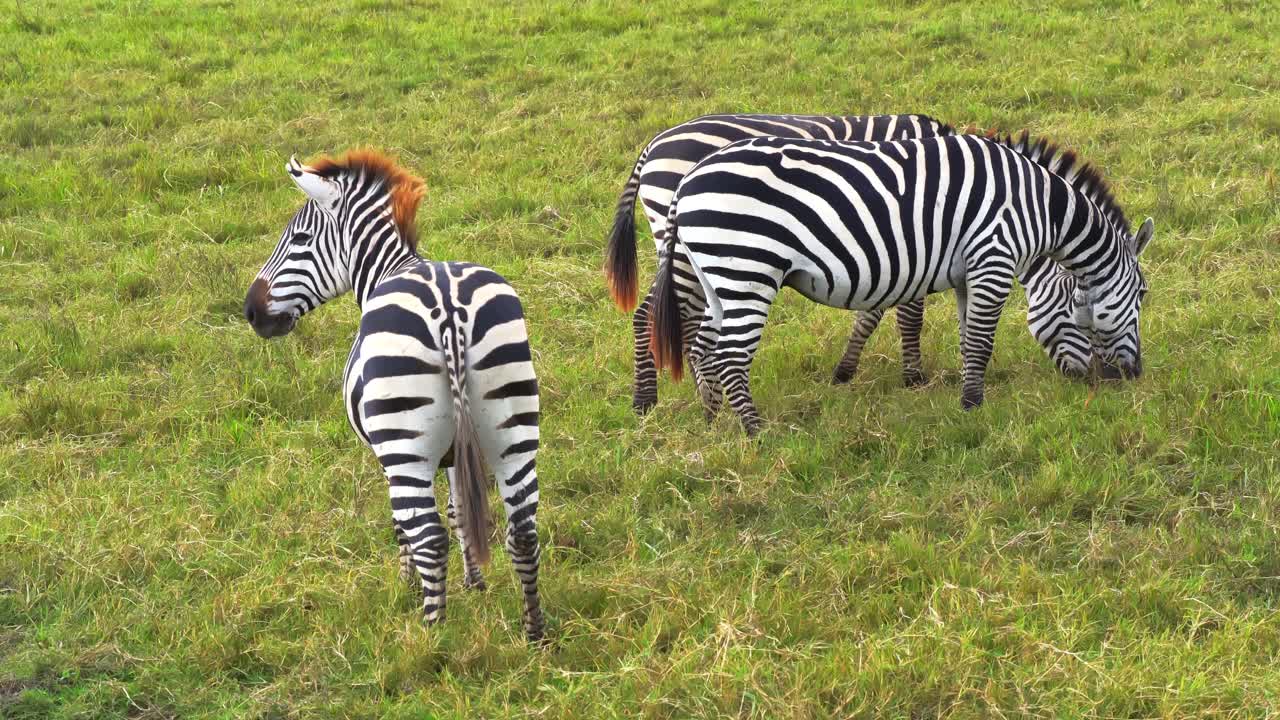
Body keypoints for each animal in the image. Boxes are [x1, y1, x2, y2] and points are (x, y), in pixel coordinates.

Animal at [242, 150, 545, 642]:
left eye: (300, 237)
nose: (250, 311)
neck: (389, 268)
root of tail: (449, 312)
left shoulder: (385, 451)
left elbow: (403, 527)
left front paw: (406, 584)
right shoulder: (456, 452)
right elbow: (461, 510)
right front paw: (474, 582)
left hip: (405, 448)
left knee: (428, 536)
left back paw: (431, 635)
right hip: (513, 429)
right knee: (523, 529)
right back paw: (534, 632)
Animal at [649, 132, 1153, 434]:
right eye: (1142, 296)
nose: (1131, 377)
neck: (1040, 209)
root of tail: (686, 182)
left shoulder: (968, 271)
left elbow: (967, 338)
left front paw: (969, 397)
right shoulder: (992, 257)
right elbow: (980, 341)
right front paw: (973, 408)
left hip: (714, 278)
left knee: (702, 347)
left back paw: (713, 416)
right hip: (748, 270)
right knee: (730, 355)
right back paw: (757, 432)